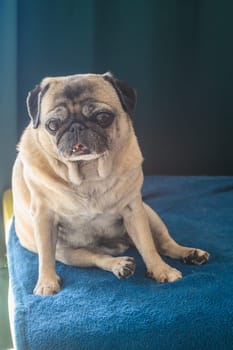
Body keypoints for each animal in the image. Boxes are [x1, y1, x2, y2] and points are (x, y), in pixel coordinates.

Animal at [11, 72, 209, 294]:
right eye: (52, 125)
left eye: (103, 117)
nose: (76, 126)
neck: (88, 173)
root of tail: (119, 245)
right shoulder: (44, 217)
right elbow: (45, 256)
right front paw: (46, 282)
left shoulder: (134, 211)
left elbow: (148, 246)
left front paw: (161, 270)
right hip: (67, 253)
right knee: (97, 257)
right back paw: (119, 265)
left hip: (149, 214)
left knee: (164, 244)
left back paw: (189, 253)